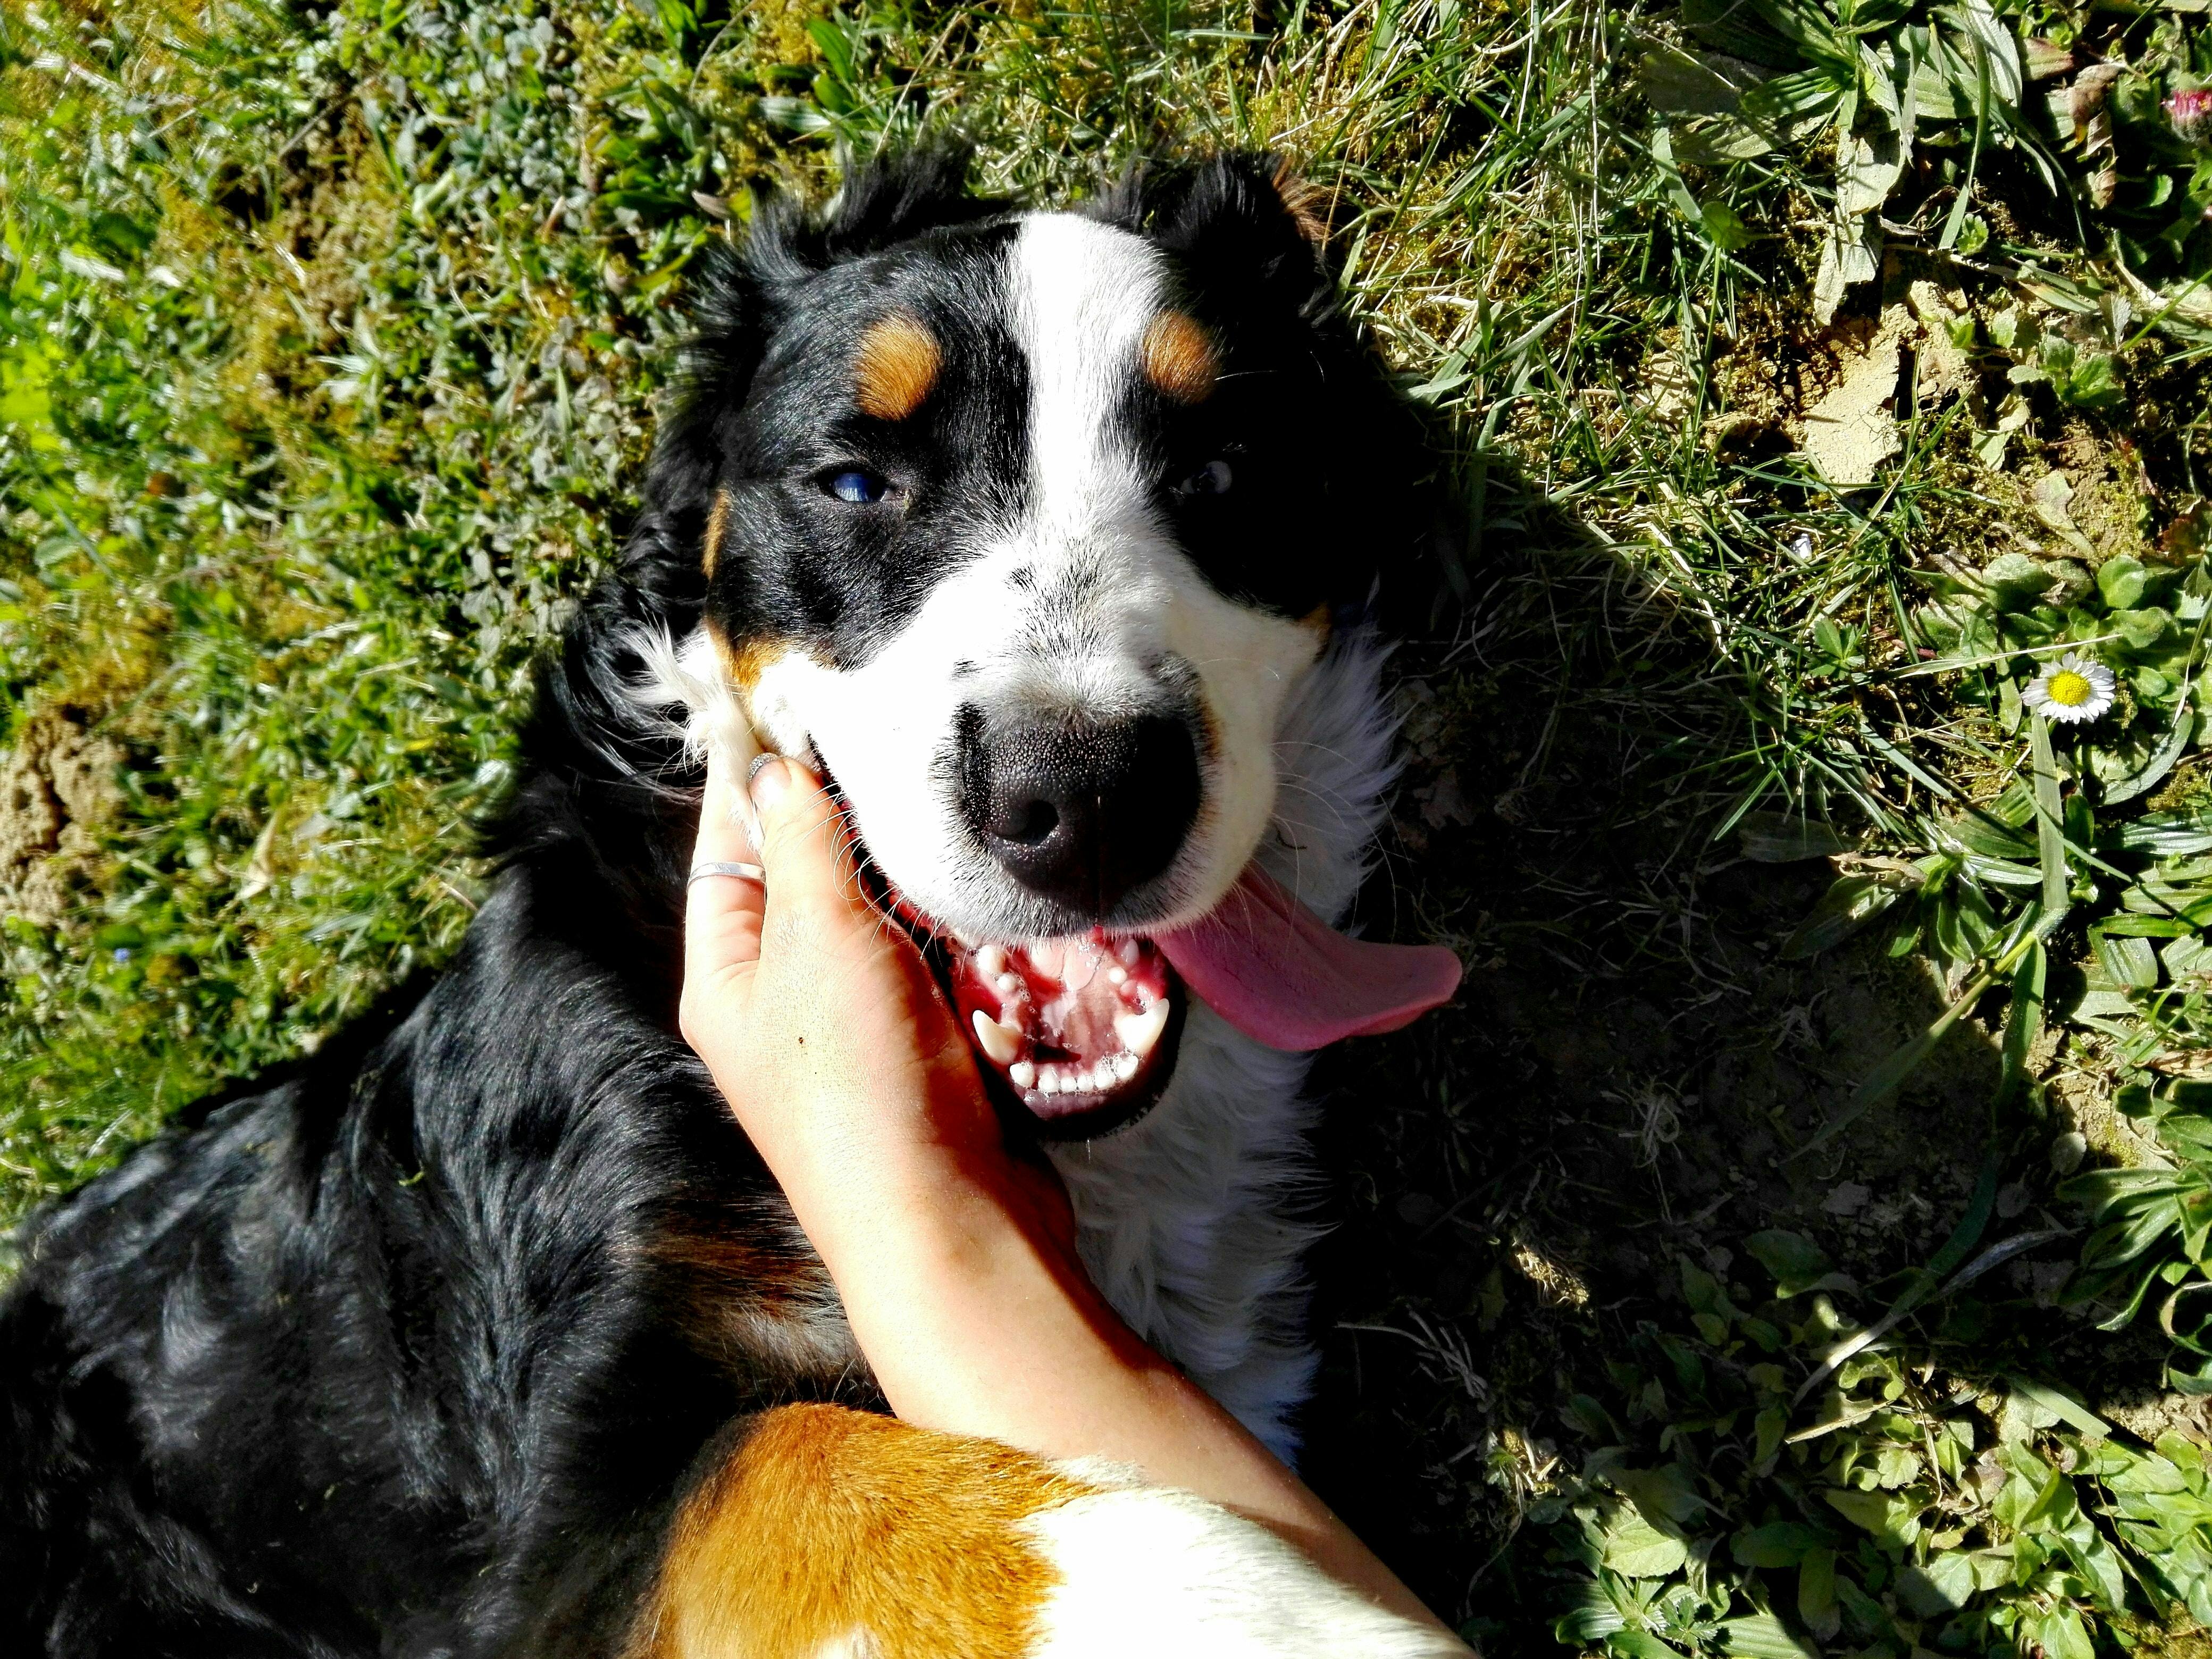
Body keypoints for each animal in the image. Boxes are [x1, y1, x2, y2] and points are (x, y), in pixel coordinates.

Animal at [4, 153, 1469, 1659]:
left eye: (1227, 469)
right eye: (854, 479)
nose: (1086, 794)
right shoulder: (550, 1543)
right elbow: (776, 1459)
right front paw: (1244, 1611)